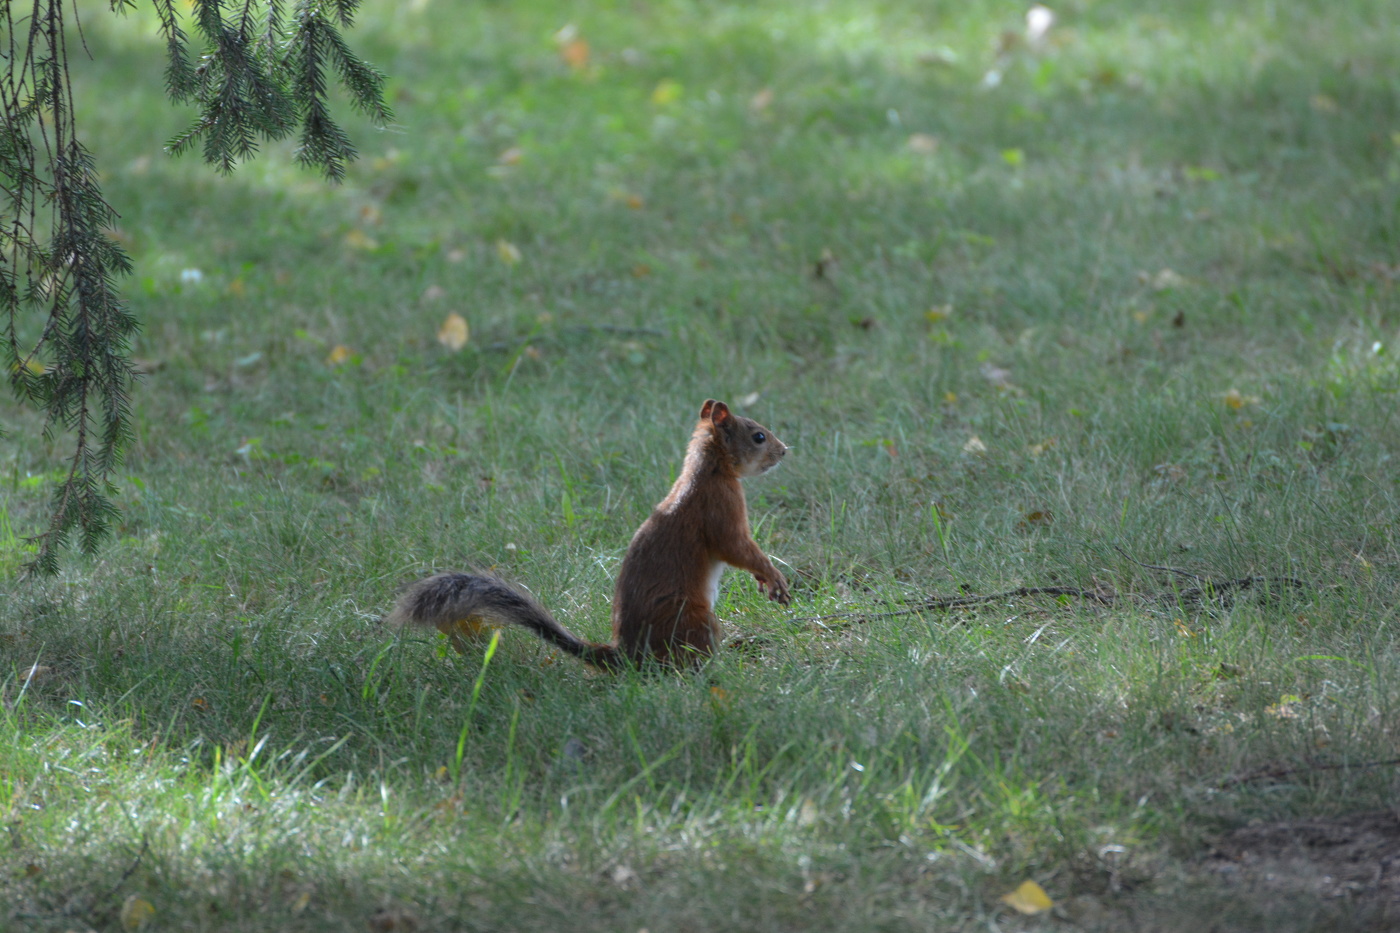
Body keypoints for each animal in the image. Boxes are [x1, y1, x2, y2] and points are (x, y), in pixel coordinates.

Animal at [387, 399, 791, 670]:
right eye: (758, 436)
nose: (785, 450)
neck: (710, 469)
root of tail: (628, 657)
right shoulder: (719, 508)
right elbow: (736, 547)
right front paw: (773, 577)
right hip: (693, 621)